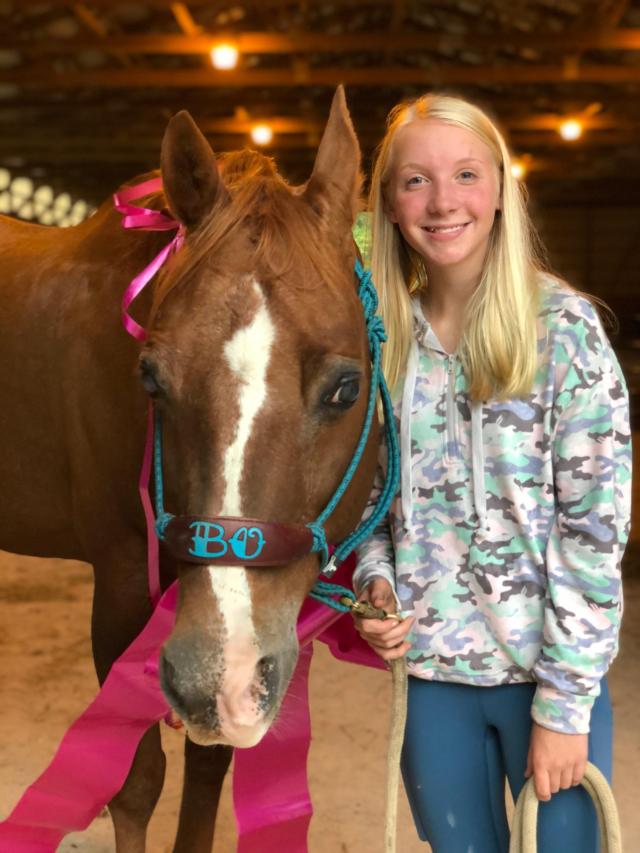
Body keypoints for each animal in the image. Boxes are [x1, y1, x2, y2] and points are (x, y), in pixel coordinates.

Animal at [0, 87, 380, 852]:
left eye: (345, 388)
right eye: (151, 378)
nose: (218, 677)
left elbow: (208, 768)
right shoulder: (121, 577)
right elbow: (136, 784)